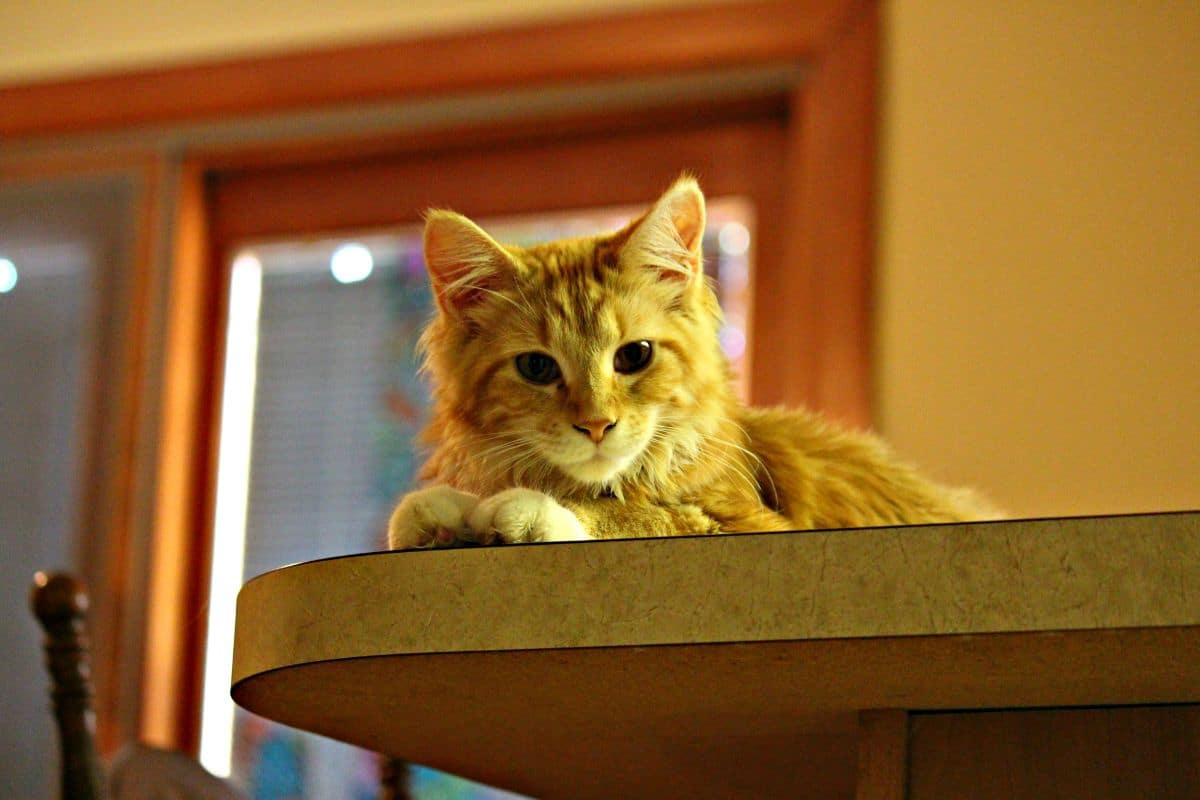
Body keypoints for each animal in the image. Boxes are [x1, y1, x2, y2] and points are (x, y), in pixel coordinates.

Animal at [386, 176, 993, 551]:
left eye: (634, 356)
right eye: (537, 368)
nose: (596, 425)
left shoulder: (749, 523)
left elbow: (649, 514)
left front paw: (535, 511)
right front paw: (442, 512)